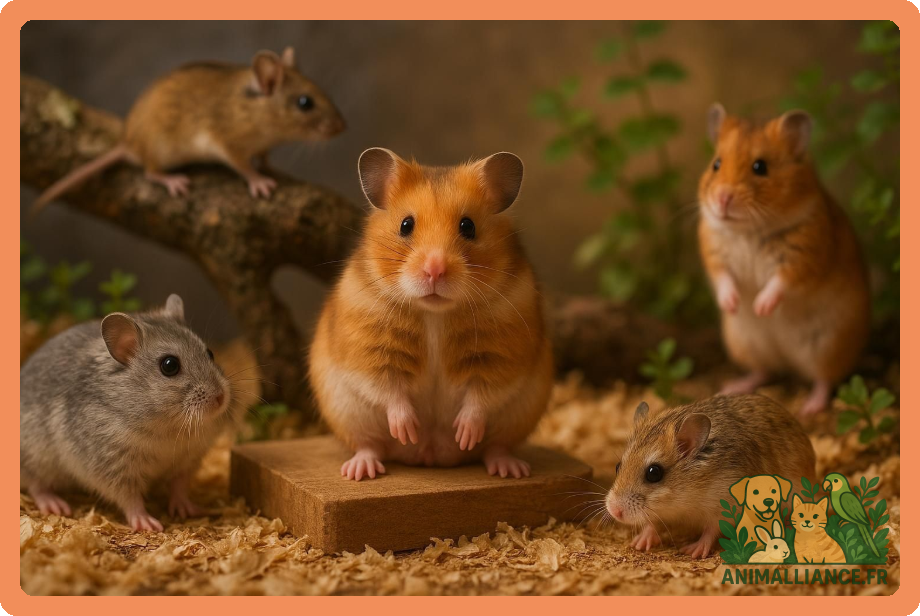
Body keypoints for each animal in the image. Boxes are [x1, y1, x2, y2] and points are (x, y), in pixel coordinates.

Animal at [20, 295, 232, 532]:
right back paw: (56, 505)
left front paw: (188, 509)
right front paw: (147, 523)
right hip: (35, 458)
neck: (167, 426)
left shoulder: (188, 459)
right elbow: (130, 499)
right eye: (169, 365)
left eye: (210, 353)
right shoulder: (112, 467)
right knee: (36, 485)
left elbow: (179, 487)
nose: (221, 397)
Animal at [32, 46, 345, 211]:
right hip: (160, 149)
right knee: (149, 171)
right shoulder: (228, 143)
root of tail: (128, 143)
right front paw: (260, 182)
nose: (343, 127)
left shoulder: (262, 146)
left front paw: (272, 170)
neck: (258, 110)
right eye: (305, 103)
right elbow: (244, 166)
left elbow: (264, 158)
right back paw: (173, 181)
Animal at [308, 148, 553, 481]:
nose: (434, 269)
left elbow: (481, 396)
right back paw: (362, 469)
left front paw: (464, 434)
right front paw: (407, 430)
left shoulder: (500, 355)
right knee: (369, 445)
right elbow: (389, 389)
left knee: (496, 447)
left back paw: (509, 469)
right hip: (349, 415)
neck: (434, 313)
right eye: (405, 225)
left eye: (468, 226)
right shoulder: (371, 350)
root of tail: (431, 454)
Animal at [605, 395, 815, 559]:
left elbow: (711, 530)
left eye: (654, 473)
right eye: (617, 466)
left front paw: (693, 551)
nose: (614, 511)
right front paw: (639, 542)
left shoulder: (723, 506)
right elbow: (652, 522)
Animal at [697, 104, 870, 415]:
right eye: (716, 164)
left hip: (827, 346)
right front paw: (734, 304)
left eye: (760, 167)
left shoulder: (803, 255)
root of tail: (789, 363)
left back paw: (809, 407)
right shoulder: (713, 252)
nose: (722, 199)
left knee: (824, 379)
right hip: (744, 344)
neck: (750, 229)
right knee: (764, 371)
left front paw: (760, 308)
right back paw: (733, 386)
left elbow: (779, 282)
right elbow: (724, 279)